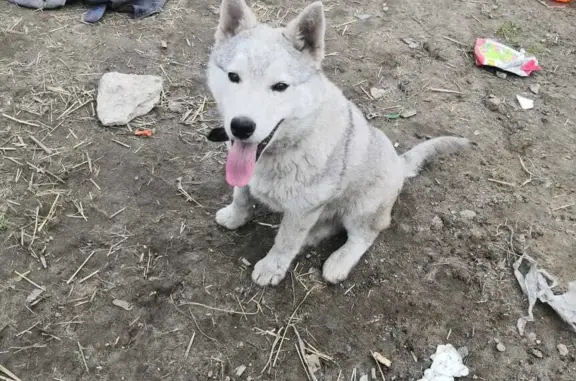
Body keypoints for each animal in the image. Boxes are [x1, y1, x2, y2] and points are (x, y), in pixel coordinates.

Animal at [207, 0, 468, 284]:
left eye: (280, 86)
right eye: (233, 76)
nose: (241, 127)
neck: (288, 145)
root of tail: (400, 165)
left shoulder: (303, 208)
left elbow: (286, 241)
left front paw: (272, 267)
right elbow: (241, 195)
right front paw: (235, 216)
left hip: (363, 207)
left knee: (363, 234)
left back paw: (339, 261)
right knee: (329, 223)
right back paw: (313, 235)